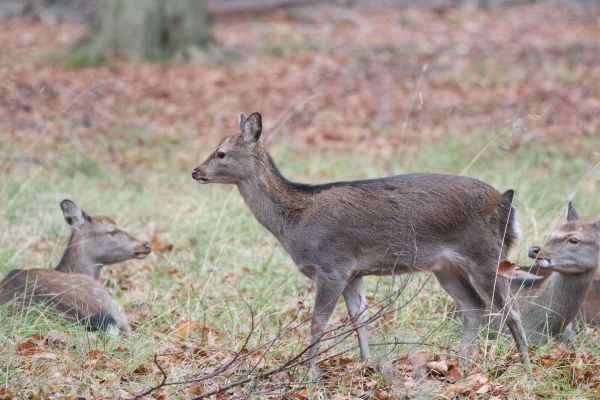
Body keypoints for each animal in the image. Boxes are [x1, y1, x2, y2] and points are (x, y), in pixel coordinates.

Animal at [192, 111, 528, 368]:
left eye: (221, 153)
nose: (196, 171)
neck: (294, 224)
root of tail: (507, 206)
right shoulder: (353, 271)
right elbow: (360, 319)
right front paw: (367, 364)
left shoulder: (331, 265)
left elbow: (318, 323)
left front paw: (309, 371)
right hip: (446, 266)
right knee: (474, 307)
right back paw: (462, 361)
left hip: (486, 255)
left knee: (510, 309)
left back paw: (524, 363)